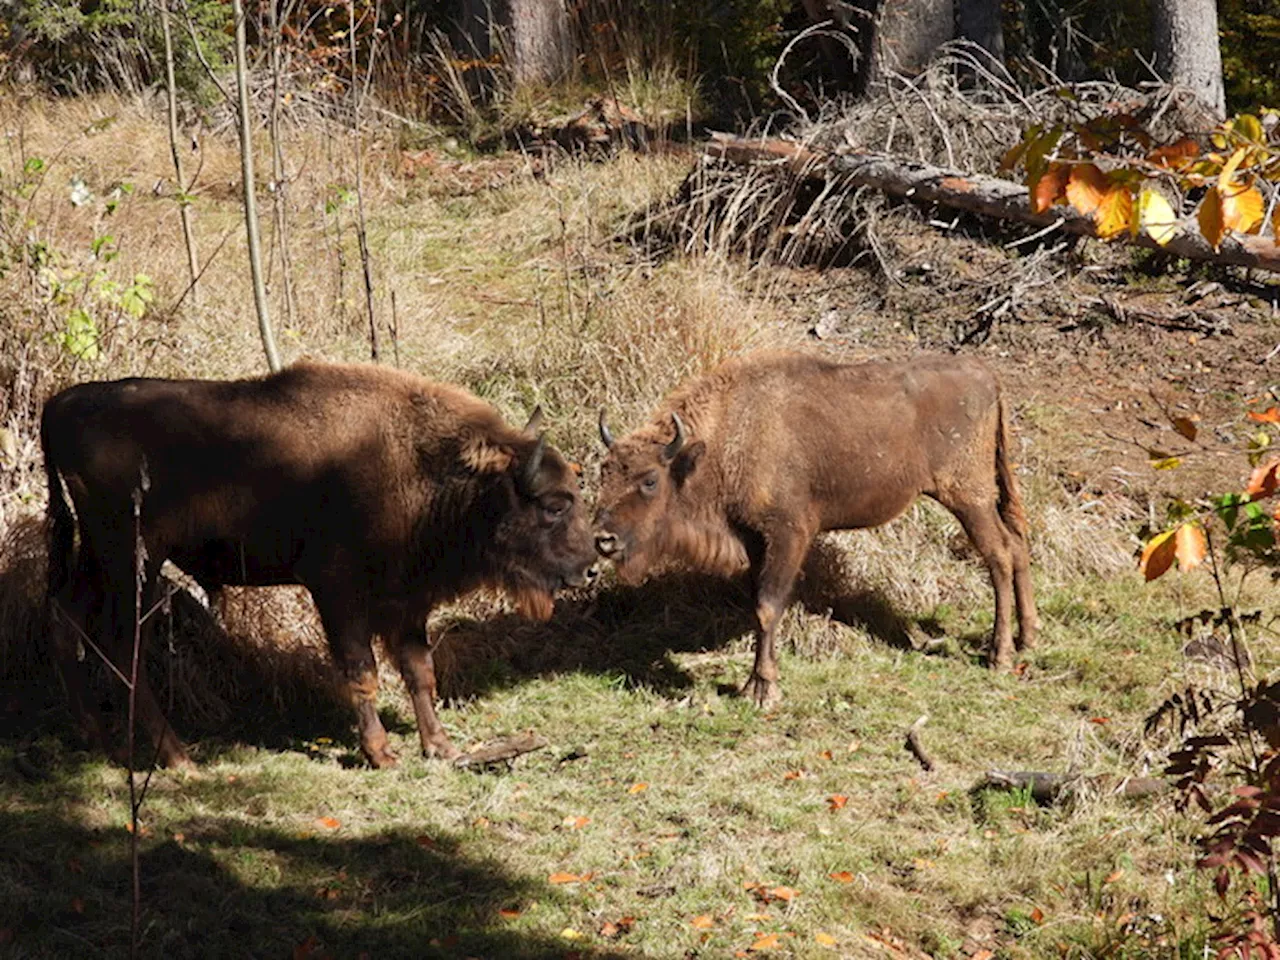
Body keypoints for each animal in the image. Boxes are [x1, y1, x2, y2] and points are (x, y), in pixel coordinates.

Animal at [41, 363, 599, 773]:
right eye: (553, 505)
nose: (591, 567)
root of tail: (59, 406)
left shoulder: (406, 601)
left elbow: (420, 671)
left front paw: (440, 747)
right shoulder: (338, 593)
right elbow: (362, 672)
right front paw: (382, 754)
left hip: (97, 555)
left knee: (66, 621)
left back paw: (99, 739)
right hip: (132, 556)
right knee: (120, 642)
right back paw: (178, 758)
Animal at [596, 350, 1039, 701]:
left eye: (649, 479)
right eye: (605, 472)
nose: (603, 540)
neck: (730, 435)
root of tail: (984, 374)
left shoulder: (789, 534)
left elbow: (767, 606)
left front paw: (763, 690)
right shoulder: (754, 540)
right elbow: (758, 604)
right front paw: (756, 683)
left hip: (968, 497)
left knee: (999, 554)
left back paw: (999, 655)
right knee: (1017, 544)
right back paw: (1028, 639)